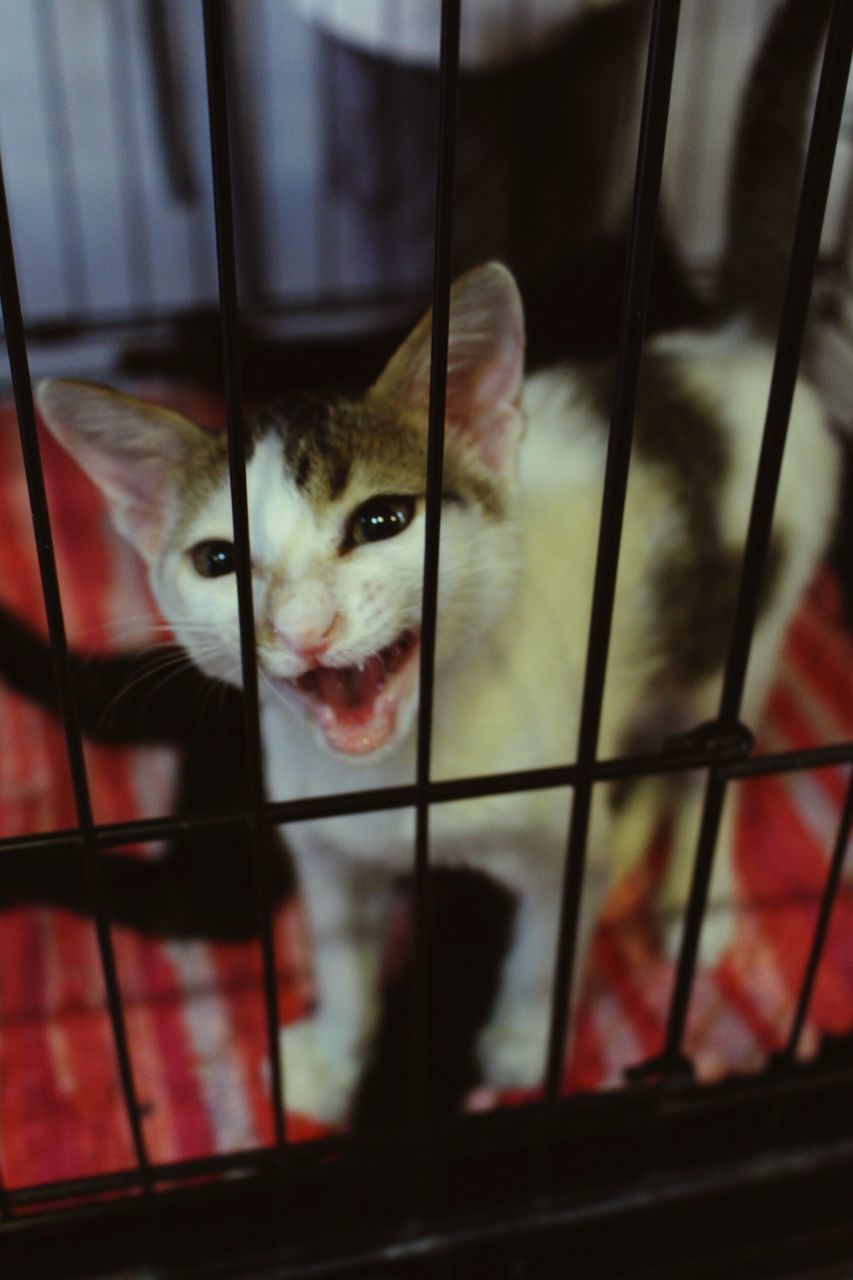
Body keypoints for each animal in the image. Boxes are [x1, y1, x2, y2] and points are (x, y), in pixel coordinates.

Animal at [0, 0, 840, 1121]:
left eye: (383, 519)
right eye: (219, 558)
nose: (303, 626)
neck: (403, 780)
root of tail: (736, 347)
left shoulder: (559, 825)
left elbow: (542, 939)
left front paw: (524, 1039)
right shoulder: (320, 840)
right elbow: (346, 951)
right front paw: (333, 1048)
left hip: (750, 618)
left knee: (721, 754)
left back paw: (686, 902)